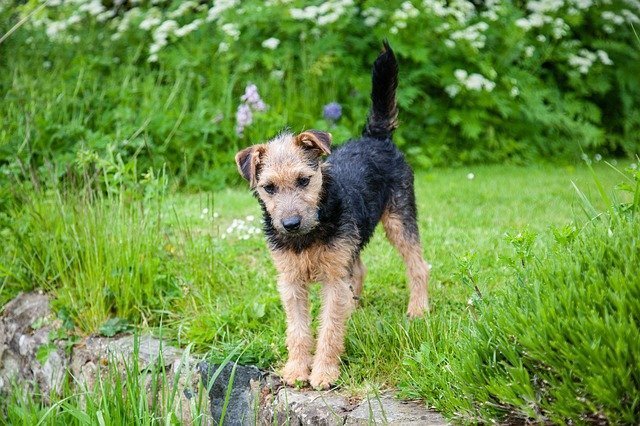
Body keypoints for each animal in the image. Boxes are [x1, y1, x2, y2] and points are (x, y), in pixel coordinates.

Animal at [232, 42, 428, 390]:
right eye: (268, 187)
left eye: (303, 180)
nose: (290, 224)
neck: (308, 235)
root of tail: (376, 137)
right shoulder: (291, 282)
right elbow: (298, 331)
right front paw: (296, 370)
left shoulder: (333, 279)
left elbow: (329, 329)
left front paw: (323, 373)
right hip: (353, 243)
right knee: (360, 270)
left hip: (399, 219)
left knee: (418, 266)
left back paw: (418, 310)